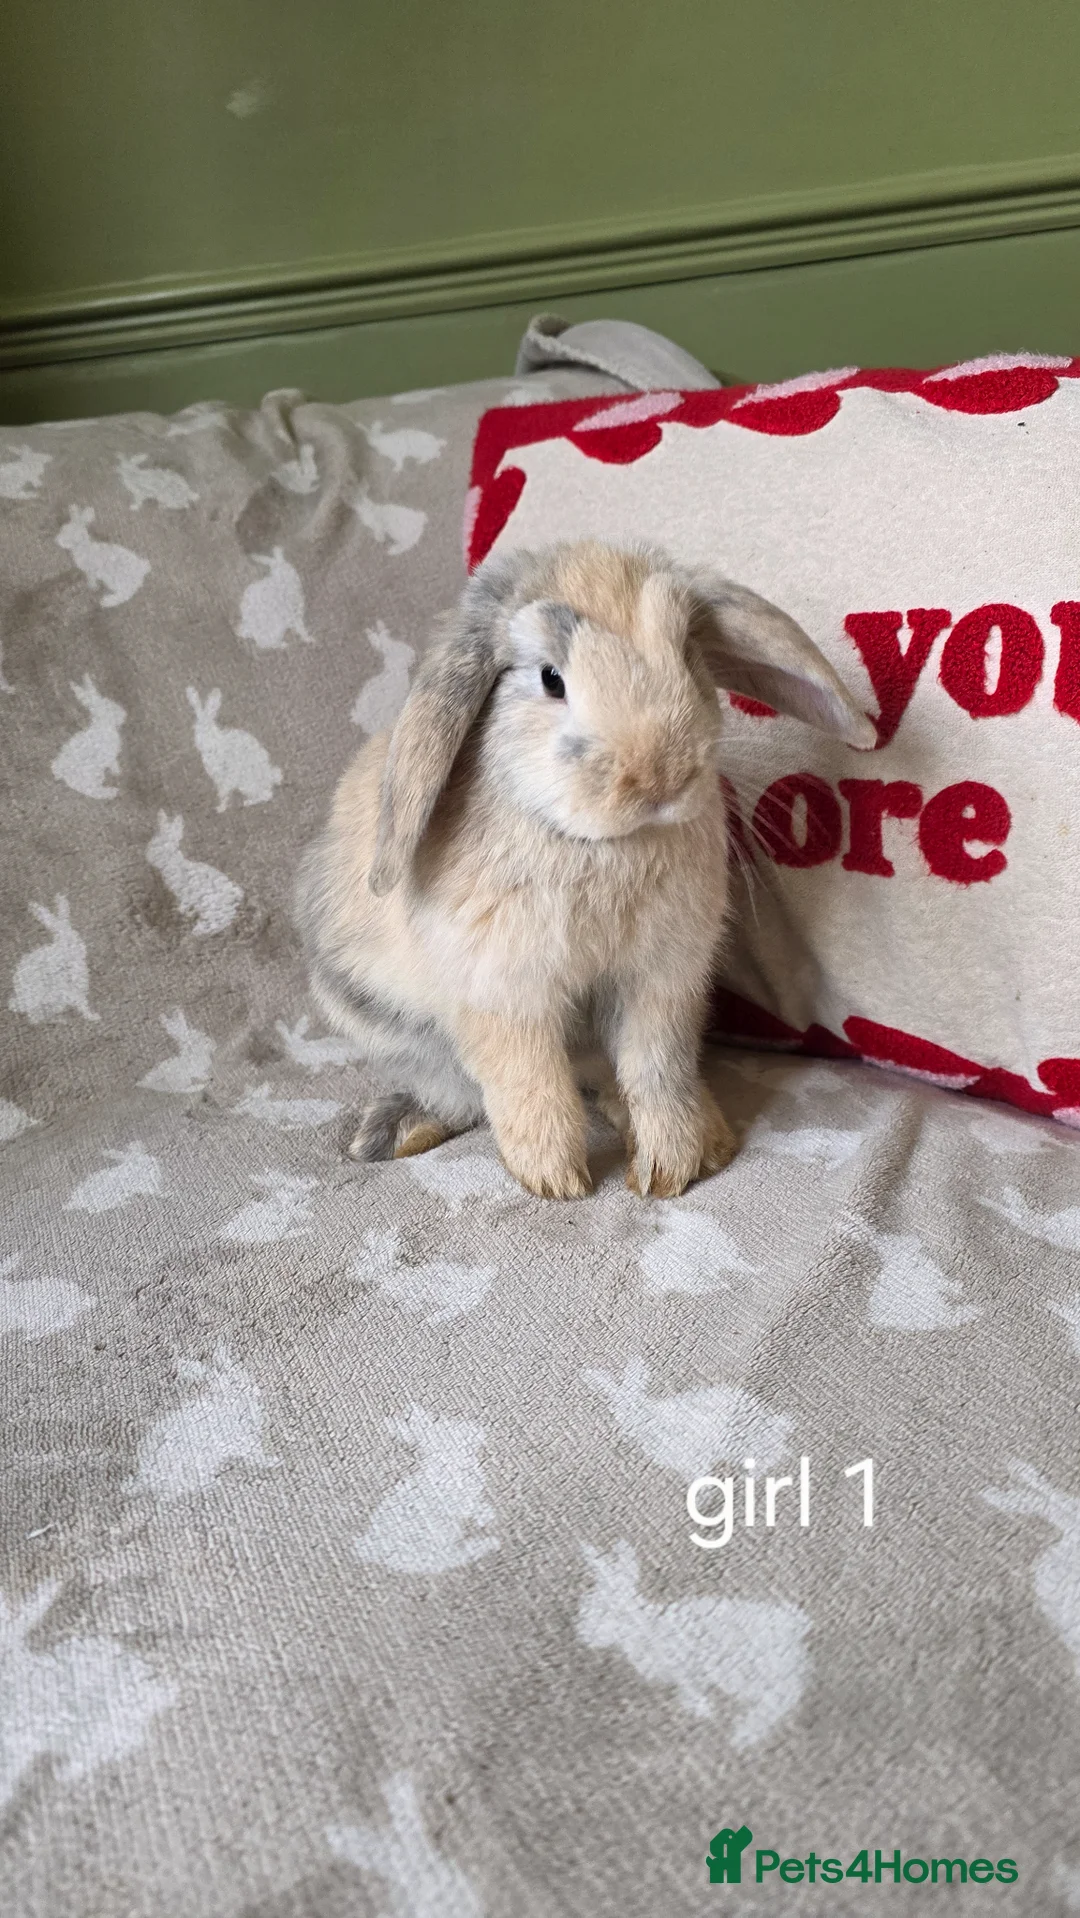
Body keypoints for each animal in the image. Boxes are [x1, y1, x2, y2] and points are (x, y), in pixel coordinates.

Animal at [296, 539, 874, 1200]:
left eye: (687, 654)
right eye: (551, 678)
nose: (661, 776)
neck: (604, 842)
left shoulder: (663, 983)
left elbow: (656, 1071)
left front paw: (671, 1166)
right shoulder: (504, 993)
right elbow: (529, 1082)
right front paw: (556, 1180)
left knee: (606, 1076)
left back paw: (709, 1135)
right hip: (375, 1013)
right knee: (462, 1090)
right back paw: (398, 1132)